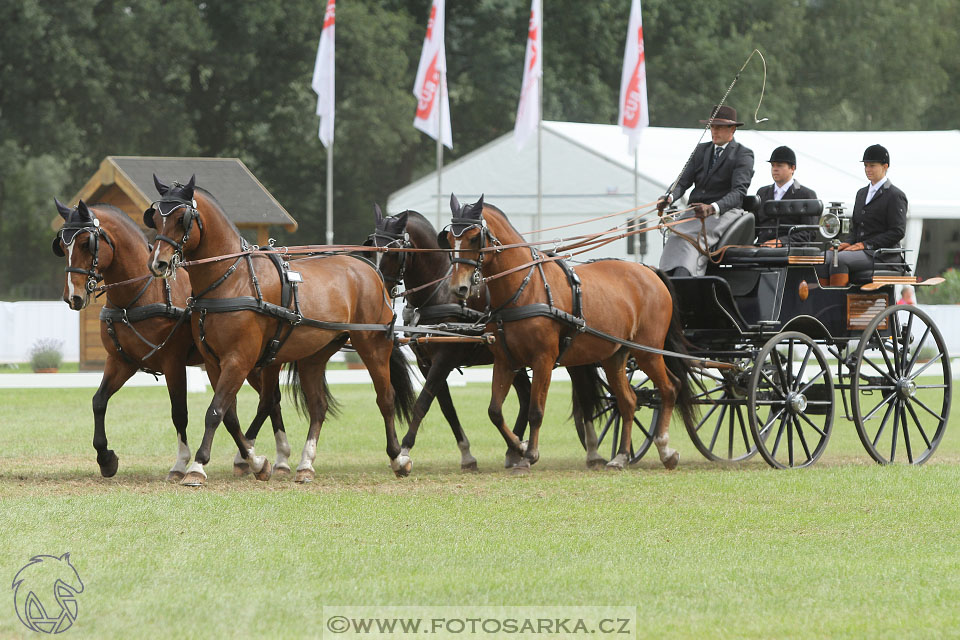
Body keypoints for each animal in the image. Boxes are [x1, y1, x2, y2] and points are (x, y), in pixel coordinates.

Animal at [52, 200, 290, 480]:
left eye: (85, 243)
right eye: (61, 246)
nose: (73, 297)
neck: (139, 295)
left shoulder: (173, 363)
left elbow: (179, 412)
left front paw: (181, 463)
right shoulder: (122, 362)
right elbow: (98, 402)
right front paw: (106, 458)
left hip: (252, 361)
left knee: (270, 400)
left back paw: (271, 457)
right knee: (268, 402)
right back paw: (274, 458)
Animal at [144, 175, 414, 484]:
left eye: (181, 218)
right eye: (156, 218)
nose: (158, 263)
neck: (231, 279)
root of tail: (370, 268)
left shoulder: (239, 360)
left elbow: (215, 411)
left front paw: (198, 467)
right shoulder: (214, 363)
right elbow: (229, 415)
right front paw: (256, 462)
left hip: (372, 345)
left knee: (386, 398)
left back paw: (398, 458)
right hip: (314, 355)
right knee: (318, 406)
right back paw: (306, 464)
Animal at [368, 206, 544, 470]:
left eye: (395, 251)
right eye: (372, 246)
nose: (377, 287)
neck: (438, 292)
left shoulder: (444, 359)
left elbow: (422, 403)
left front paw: (405, 450)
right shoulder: (426, 363)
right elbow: (446, 408)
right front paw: (466, 454)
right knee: (525, 396)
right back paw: (515, 449)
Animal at [442, 195, 696, 470]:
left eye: (474, 238)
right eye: (449, 240)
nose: (459, 288)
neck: (525, 286)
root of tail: (648, 270)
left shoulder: (543, 359)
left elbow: (535, 410)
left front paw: (529, 455)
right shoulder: (504, 360)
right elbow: (495, 412)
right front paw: (519, 446)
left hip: (647, 352)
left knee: (670, 388)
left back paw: (665, 450)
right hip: (615, 356)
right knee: (628, 401)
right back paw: (620, 456)